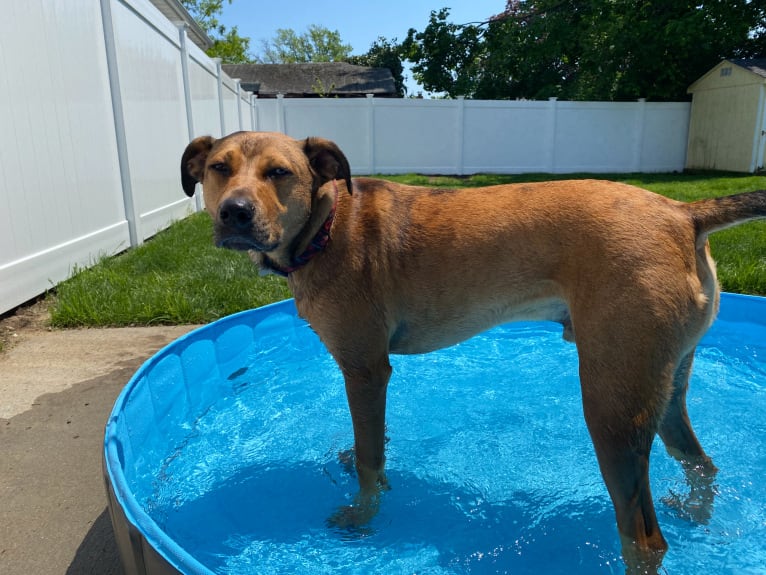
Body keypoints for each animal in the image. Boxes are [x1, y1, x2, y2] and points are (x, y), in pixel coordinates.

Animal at [182, 130, 766, 572]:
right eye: (217, 168)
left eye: (279, 172)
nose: (234, 212)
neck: (325, 224)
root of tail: (684, 212)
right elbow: (370, 443)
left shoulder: (364, 369)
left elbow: (371, 461)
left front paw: (364, 516)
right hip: (662, 385)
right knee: (702, 464)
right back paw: (697, 515)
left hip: (612, 408)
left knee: (644, 538)